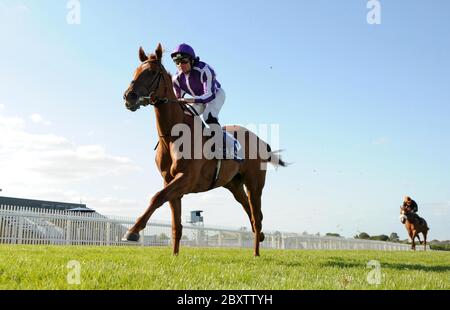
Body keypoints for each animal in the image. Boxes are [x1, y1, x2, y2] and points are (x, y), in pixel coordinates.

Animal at [121, 43, 286, 256]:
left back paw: (257, 252)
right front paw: (174, 256)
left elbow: (157, 197)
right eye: (135, 71)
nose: (129, 96)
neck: (172, 136)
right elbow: (175, 224)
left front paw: (132, 232)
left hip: (254, 184)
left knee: (256, 216)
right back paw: (263, 236)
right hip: (234, 185)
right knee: (250, 211)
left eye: (152, 72)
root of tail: (260, 140)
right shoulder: (170, 180)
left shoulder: (186, 178)